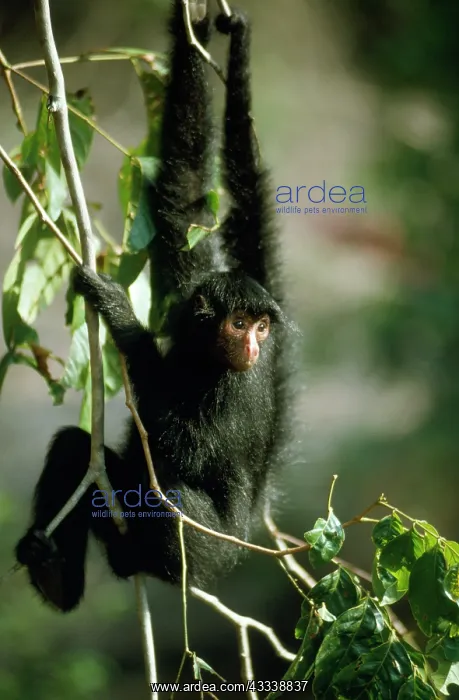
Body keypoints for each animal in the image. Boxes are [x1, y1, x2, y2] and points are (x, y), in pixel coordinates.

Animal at [15, 0, 291, 612]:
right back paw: (57, 577)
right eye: (240, 322)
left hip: (205, 551)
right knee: (75, 448)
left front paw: (120, 313)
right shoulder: (190, 289)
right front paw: (196, 24)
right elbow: (182, 200)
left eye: (260, 326)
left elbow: (183, 448)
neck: (205, 357)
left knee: (177, 503)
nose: (252, 343)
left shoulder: (239, 386)